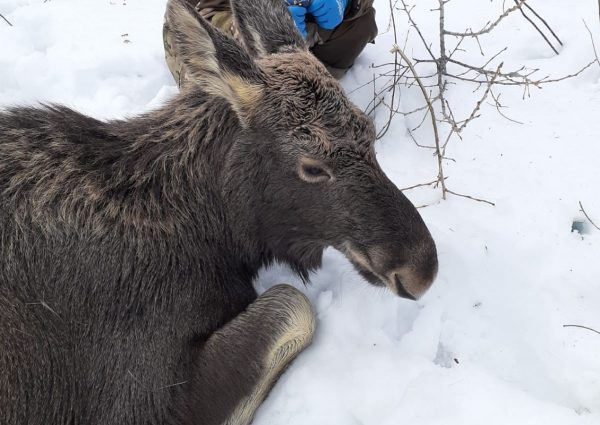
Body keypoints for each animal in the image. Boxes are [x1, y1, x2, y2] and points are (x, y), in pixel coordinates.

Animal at [0, 0, 436, 422]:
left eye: (370, 134)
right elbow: (294, 303)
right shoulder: (136, 398)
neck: (214, 231)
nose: (421, 268)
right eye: (312, 167)